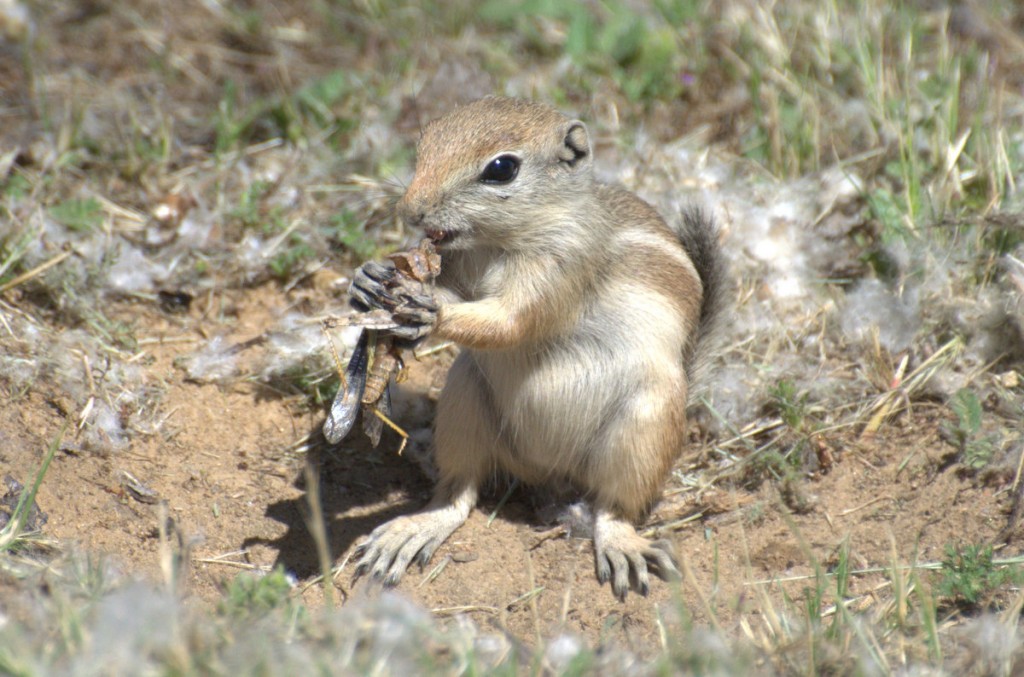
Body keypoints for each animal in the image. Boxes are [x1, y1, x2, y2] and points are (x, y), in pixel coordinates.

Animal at [348, 96, 727, 599]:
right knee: (458, 494)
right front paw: (367, 276)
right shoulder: (457, 264)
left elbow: (511, 322)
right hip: (462, 404)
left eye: (502, 168)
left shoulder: (565, 265)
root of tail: (552, 472)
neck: (497, 244)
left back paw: (622, 543)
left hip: (645, 430)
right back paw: (417, 528)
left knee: (615, 508)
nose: (412, 210)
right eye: (424, 144)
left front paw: (433, 311)